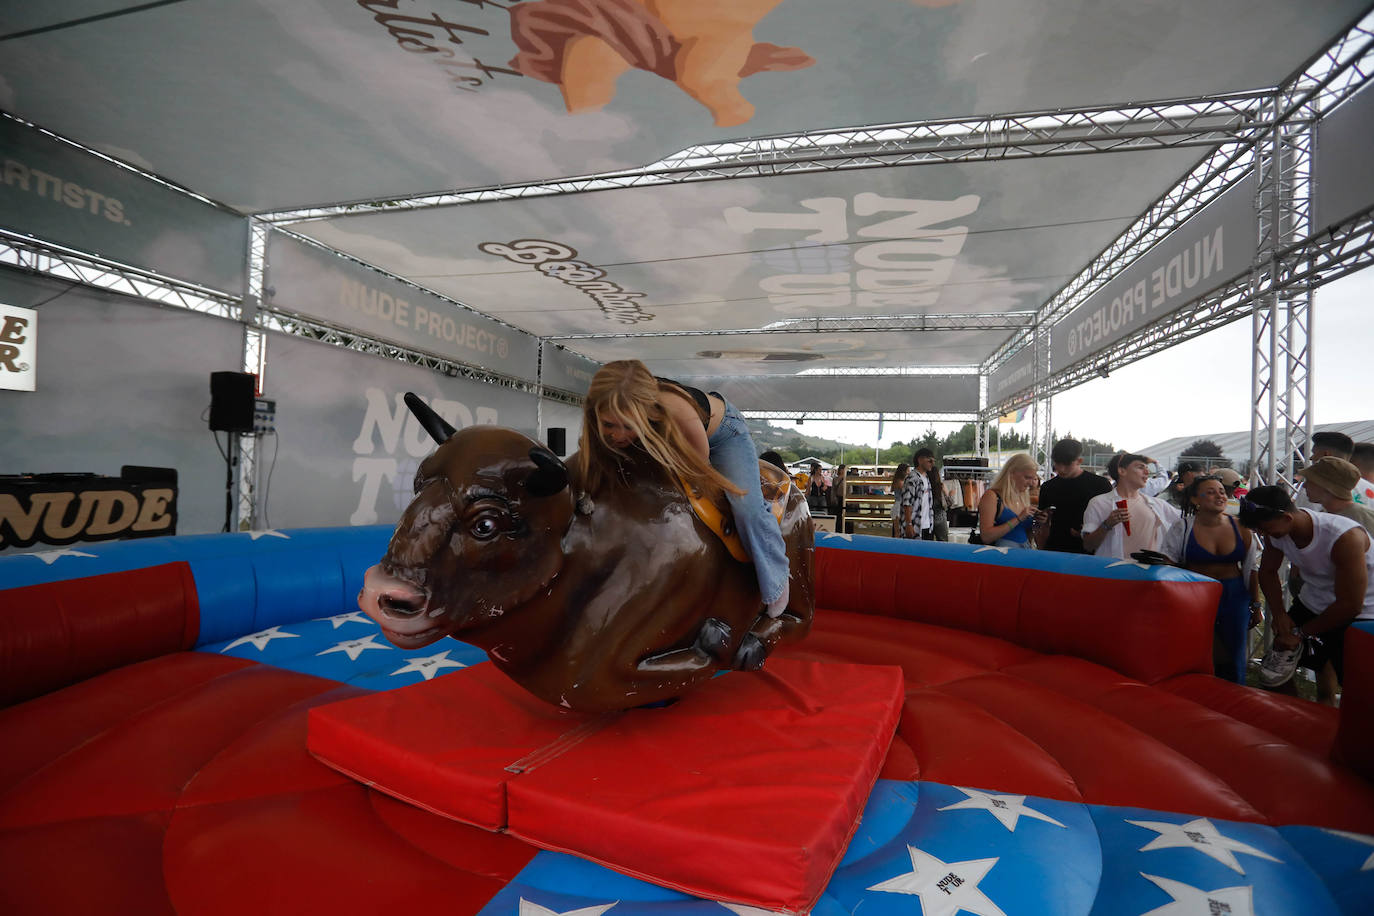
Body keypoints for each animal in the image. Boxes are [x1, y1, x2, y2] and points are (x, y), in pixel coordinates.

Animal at [362, 390, 813, 714]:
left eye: (486, 523)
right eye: (417, 485)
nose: (383, 593)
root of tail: (789, 479)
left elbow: (599, 681)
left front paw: (716, 641)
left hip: (798, 565)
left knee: (798, 621)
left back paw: (751, 645)